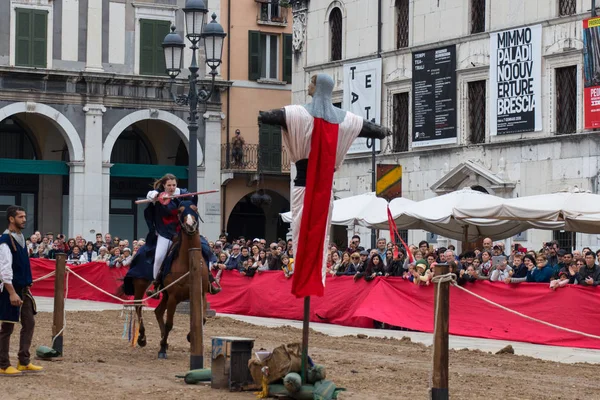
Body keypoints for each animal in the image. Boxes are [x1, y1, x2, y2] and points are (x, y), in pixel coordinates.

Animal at [120, 202, 210, 358]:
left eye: (195, 209)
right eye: (180, 211)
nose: (190, 224)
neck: (188, 263)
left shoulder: (200, 294)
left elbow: (202, 319)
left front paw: (189, 337)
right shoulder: (173, 297)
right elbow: (169, 324)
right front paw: (162, 349)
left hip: (167, 295)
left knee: (158, 311)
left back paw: (164, 340)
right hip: (141, 284)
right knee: (138, 306)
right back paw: (143, 338)